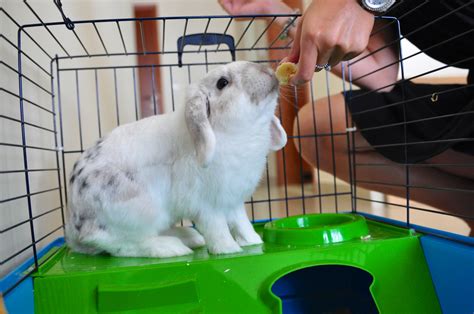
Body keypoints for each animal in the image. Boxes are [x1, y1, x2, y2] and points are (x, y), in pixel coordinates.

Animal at [65, 61, 286, 258]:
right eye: (222, 83)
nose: (269, 72)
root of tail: (74, 228)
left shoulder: (233, 201)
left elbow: (242, 223)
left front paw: (254, 241)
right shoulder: (207, 206)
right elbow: (218, 229)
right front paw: (229, 251)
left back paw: (189, 236)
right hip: (139, 211)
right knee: (119, 244)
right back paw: (171, 248)